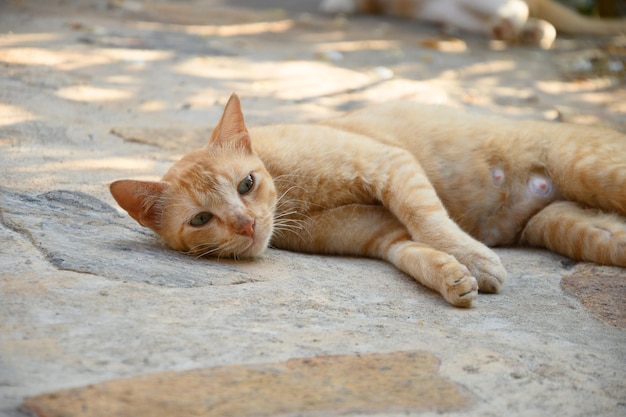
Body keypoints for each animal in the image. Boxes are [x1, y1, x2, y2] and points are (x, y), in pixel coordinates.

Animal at [108, 94, 624, 306]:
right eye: (201, 219)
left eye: (246, 185)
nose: (246, 225)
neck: (294, 200)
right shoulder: (382, 235)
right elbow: (415, 251)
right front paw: (454, 277)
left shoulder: (390, 165)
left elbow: (429, 220)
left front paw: (474, 258)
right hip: (572, 228)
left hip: (590, 170)